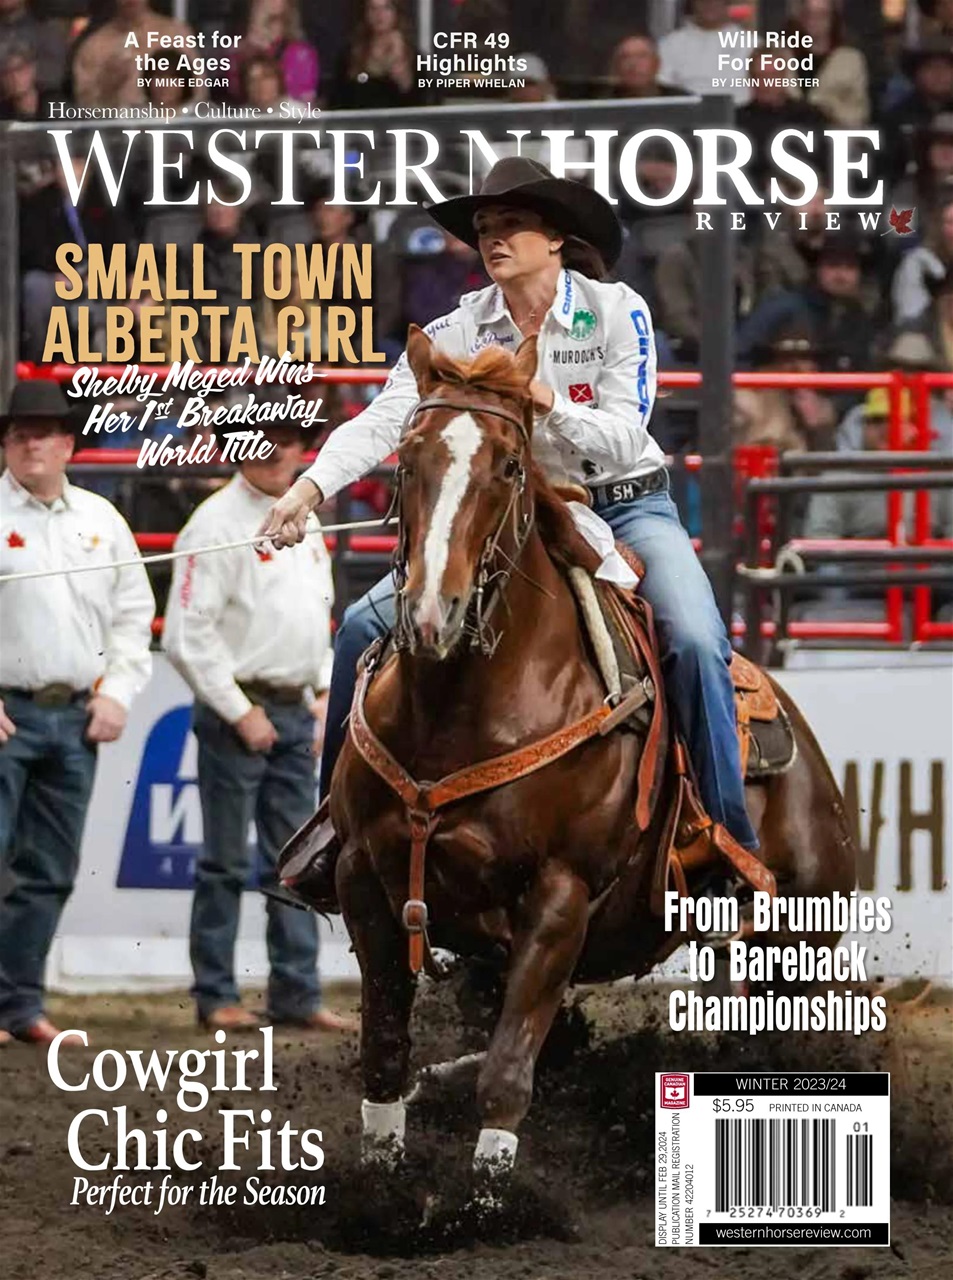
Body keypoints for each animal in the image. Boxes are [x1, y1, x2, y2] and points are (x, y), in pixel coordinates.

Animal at [324, 326, 856, 1189]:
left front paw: (486, 1201)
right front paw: (383, 1180)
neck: (459, 709)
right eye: (406, 460)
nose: (432, 615)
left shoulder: (559, 897)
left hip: (797, 943)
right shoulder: (365, 880)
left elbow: (507, 1074)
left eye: (510, 465)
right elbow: (384, 1056)